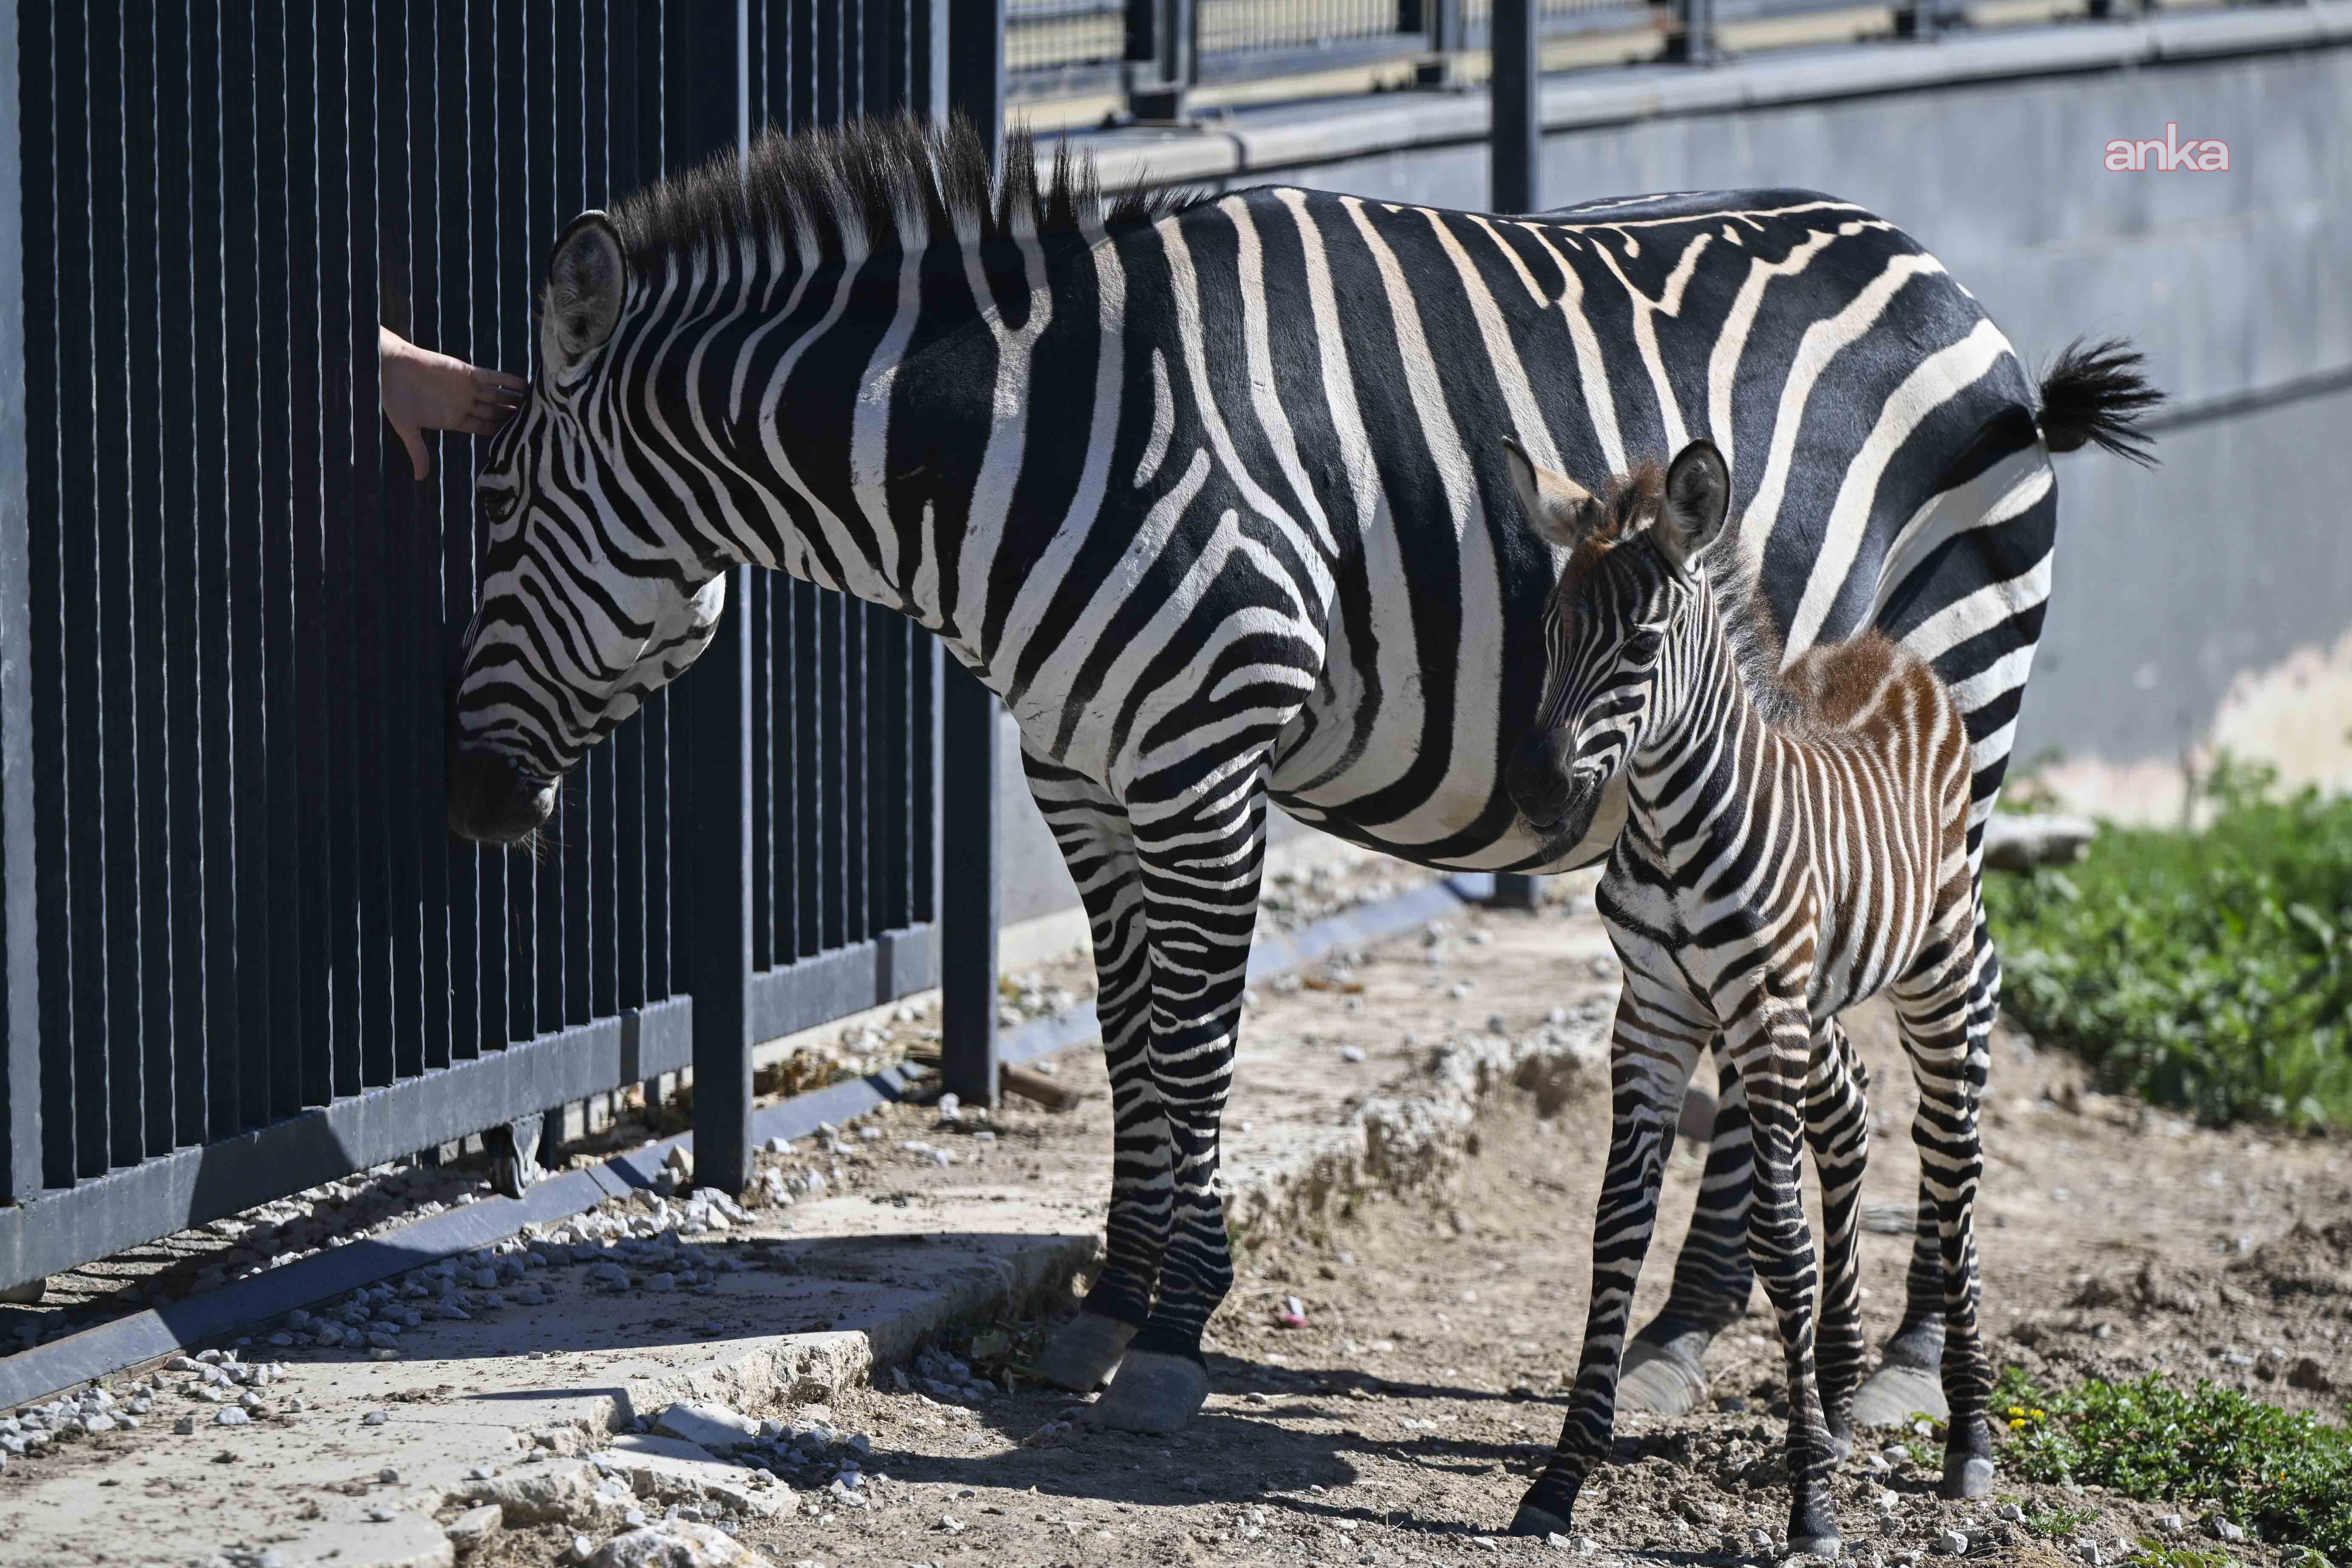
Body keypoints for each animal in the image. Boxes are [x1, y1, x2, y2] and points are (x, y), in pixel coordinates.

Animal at [1498, 434, 1995, 1552]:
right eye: (1549, 632)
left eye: (1641, 645)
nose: (1539, 796)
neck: (1670, 827)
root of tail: (1888, 649)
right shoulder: (1652, 1013)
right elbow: (1615, 1227)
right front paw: (1558, 1479)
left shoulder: (1760, 1014)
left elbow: (1780, 1244)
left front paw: (1810, 1507)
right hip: (1808, 1002)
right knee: (1850, 1112)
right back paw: (1841, 1389)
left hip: (1938, 968)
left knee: (1950, 1160)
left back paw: (1968, 1439)